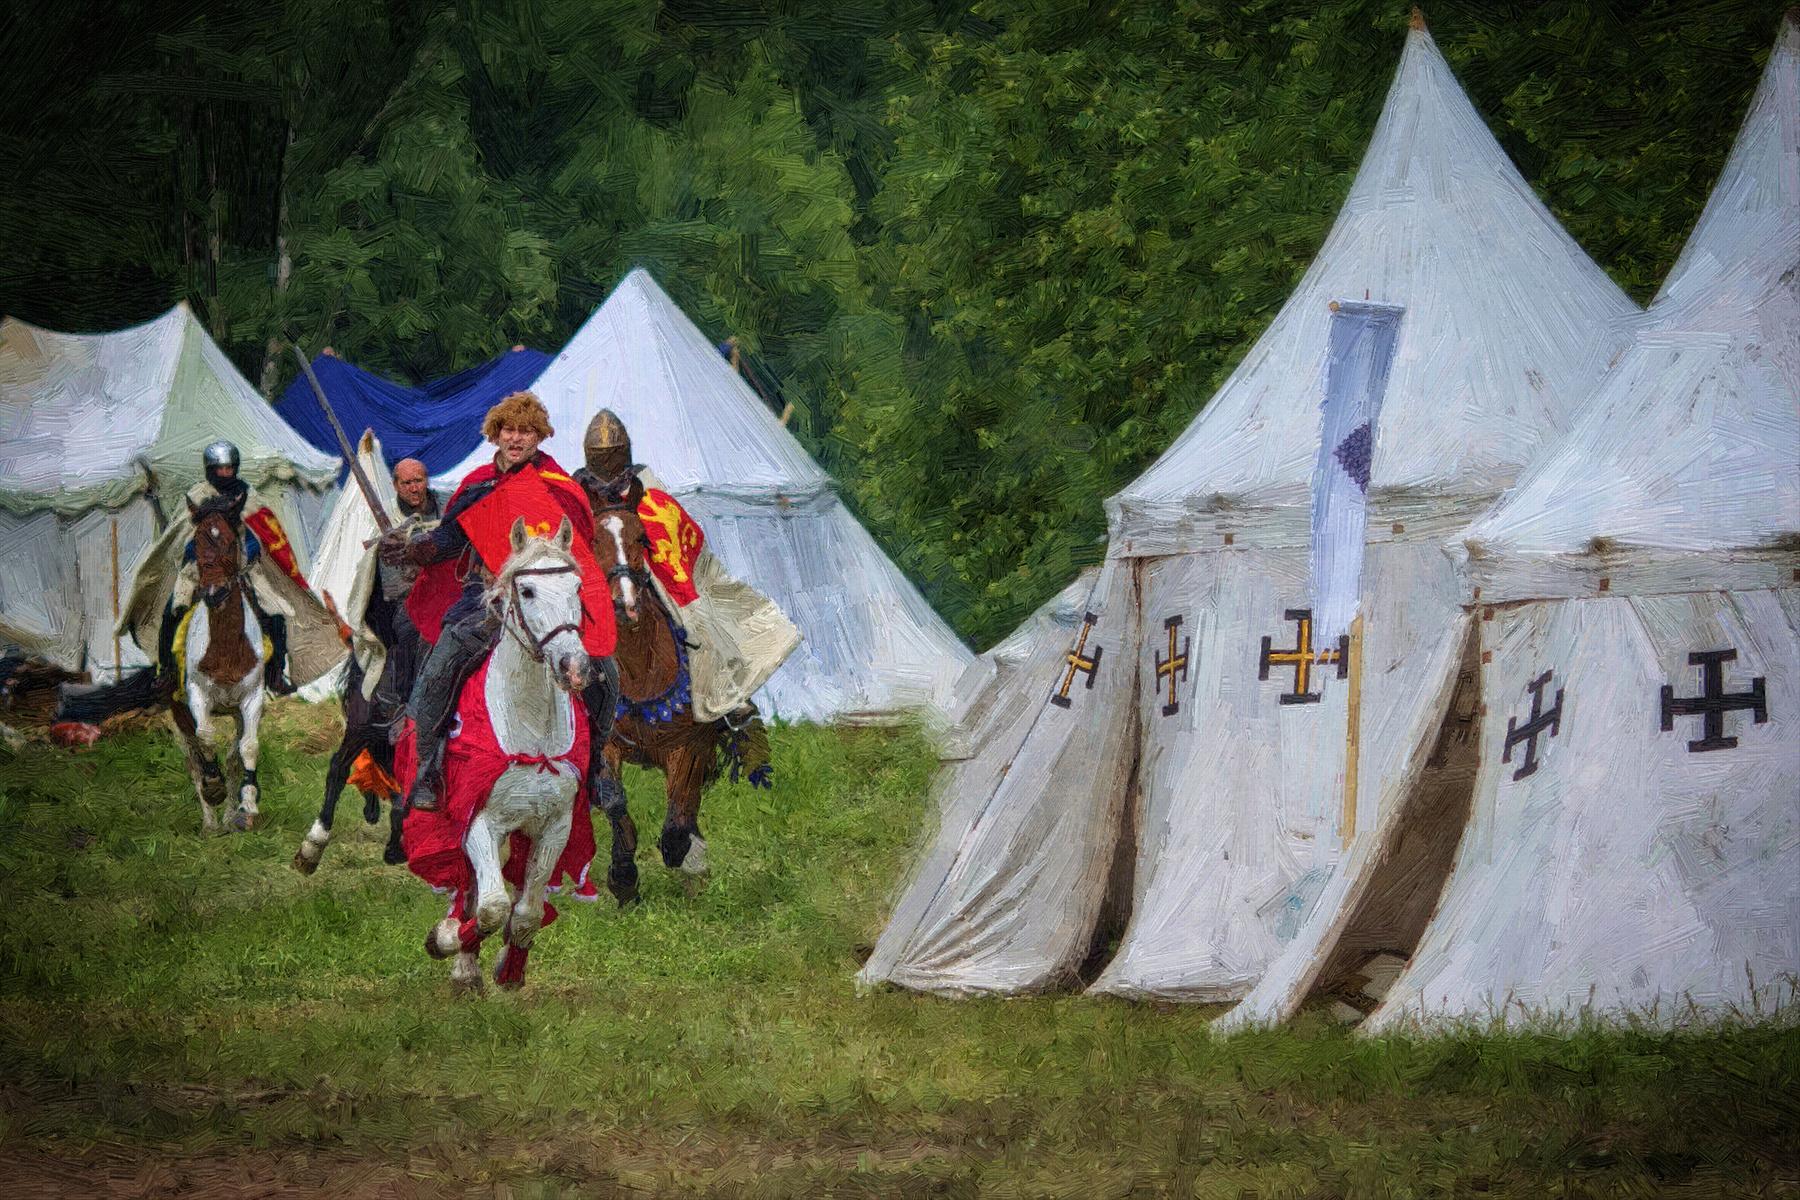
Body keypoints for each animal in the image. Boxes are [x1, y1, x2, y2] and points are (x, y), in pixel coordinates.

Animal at [170, 493, 268, 835]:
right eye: (195, 544)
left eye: (229, 542)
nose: (215, 593)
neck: (226, 649)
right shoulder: (196, 696)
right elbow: (206, 737)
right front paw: (214, 788)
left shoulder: (252, 698)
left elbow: (247, 748)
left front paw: (248, 806)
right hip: (178, 712)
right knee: (193, 759)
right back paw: (211, 822)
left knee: (233, 757)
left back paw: (228, 818)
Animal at [417, 516, 594, 995]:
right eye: (527, 591)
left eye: (577, 587)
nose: (574, 667)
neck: (531, 731)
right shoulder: (479, 819)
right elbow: (492, 906)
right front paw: (444, 941)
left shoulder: (556, 825)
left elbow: (526, 913)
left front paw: (510, 972)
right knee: (475, 894)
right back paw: (462, 965)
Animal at [589, 501, 747, 907]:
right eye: (593, 540)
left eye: (642, 538)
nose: (624, 604)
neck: (640, 670)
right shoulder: (607, 745)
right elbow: (615, 803)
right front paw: (623, 878)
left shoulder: (690, 746)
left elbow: (679, 815)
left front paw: (687, 857)